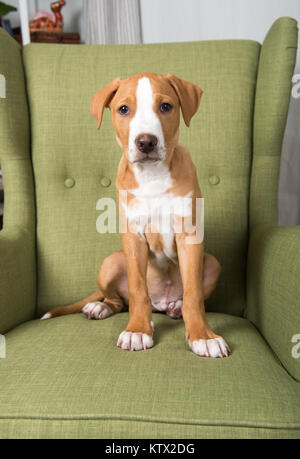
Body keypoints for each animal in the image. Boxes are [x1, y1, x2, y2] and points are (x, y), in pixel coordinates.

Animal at [41, 73, 230, 360]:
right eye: (123, 109)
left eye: (165, 106)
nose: (146, 142)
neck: (152, 176)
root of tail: (161, 302)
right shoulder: (133, 236)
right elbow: (138, 290)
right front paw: (138, 330)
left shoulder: (189, 234)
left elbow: (194, 294)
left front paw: (203, 336)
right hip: (110, 263)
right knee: (118, 300)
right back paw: (99, 307)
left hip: (212, 263)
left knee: (183, 296)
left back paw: (176, 307)